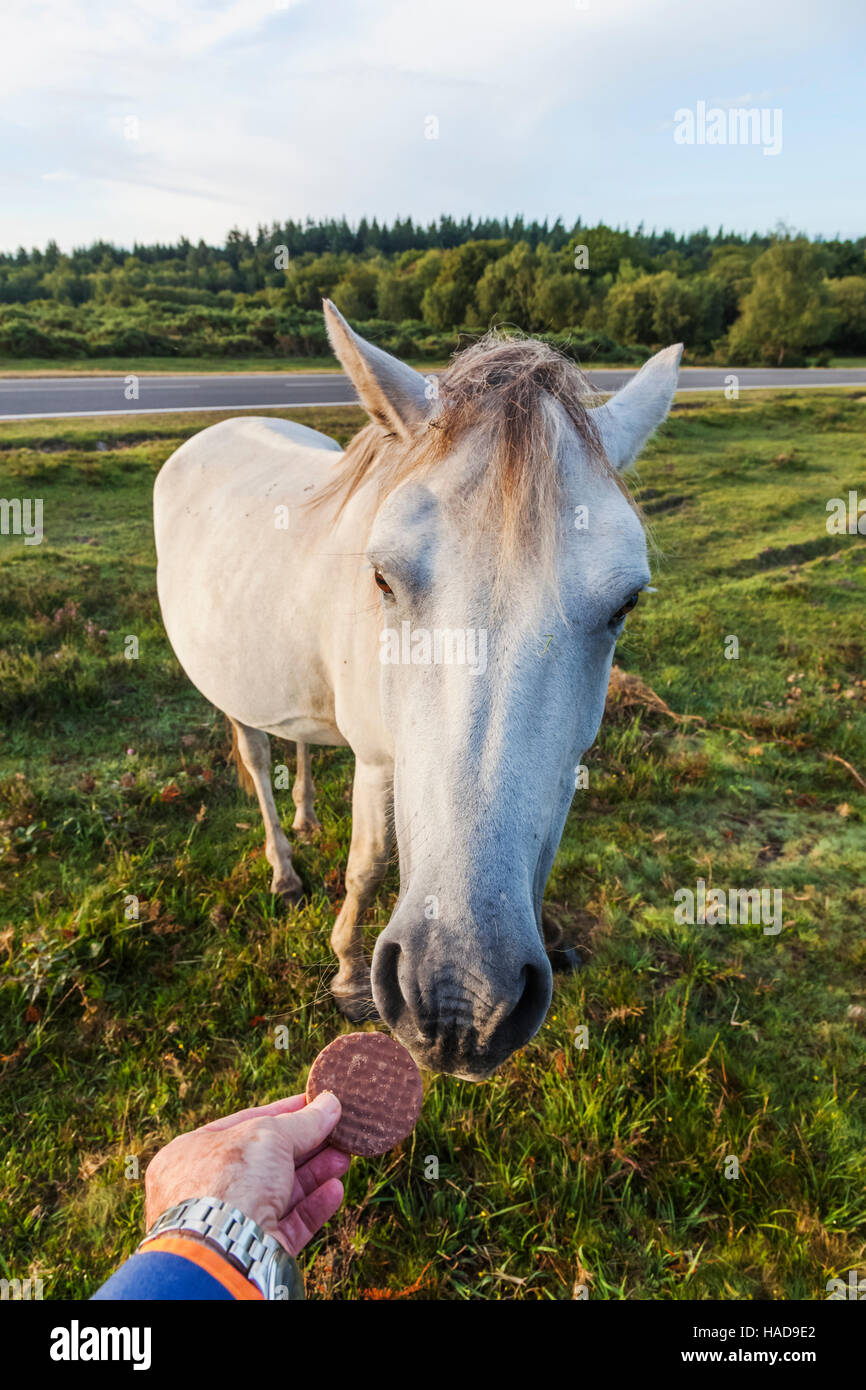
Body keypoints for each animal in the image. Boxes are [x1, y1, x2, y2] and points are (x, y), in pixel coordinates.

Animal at [154, 300, 681, 1080]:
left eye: (625, 604)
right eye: (382, 577)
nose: (462, 1001)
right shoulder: (379, 762)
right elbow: (369, 865)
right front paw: (346, 974)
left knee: (297, 745)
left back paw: (306, 817)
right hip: (231, 692)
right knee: (256, 758)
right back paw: (284, 867)